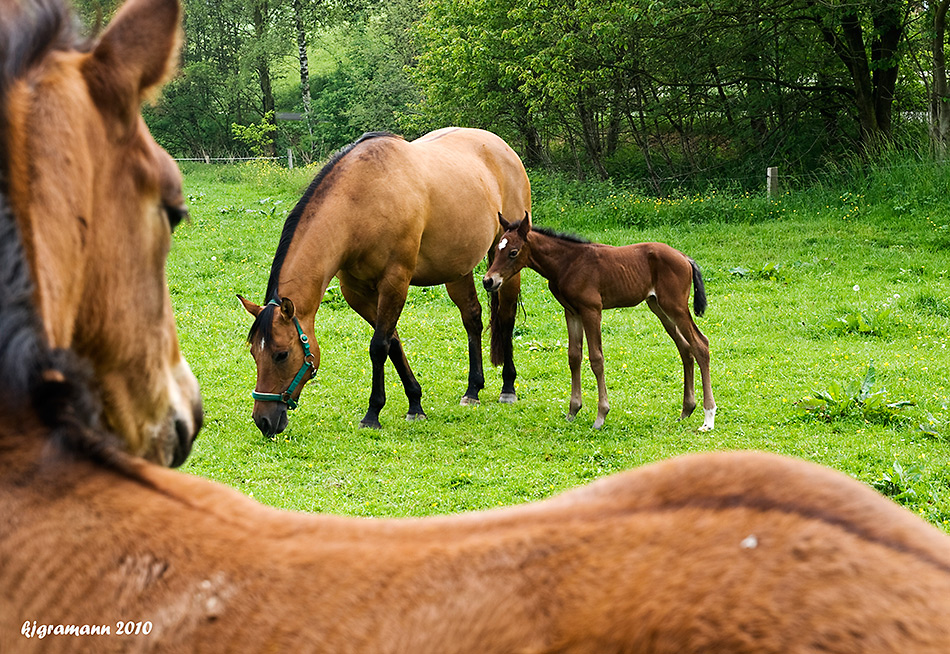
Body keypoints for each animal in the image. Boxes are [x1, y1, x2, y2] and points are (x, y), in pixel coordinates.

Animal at [240, 127, 528, 436]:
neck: (359, 202)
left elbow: (379, 347)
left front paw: (373, 413)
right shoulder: (357, 292)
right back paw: (473, 389)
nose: (263, 421)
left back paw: (508, 387)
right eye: (254, 353)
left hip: (506, 261)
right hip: (457, 269)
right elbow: (393, 342)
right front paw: (415, 403)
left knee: (506, 318)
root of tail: (502, 147)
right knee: (472, 318)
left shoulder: (395, 282)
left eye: (281, 355)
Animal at [484, 213, 712, 434]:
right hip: (659, 308)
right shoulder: (572, 312)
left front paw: (601, 416)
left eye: (513, 252)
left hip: (676, 307)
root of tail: (684, 257)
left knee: (700, 344)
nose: (488, 281)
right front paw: (573, 411)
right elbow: (574, 357)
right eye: (496, 249)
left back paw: (708, 418)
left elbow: (596, 359)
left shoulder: (591, 311)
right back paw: (686, 410)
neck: (568, 263)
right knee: (685, 348)